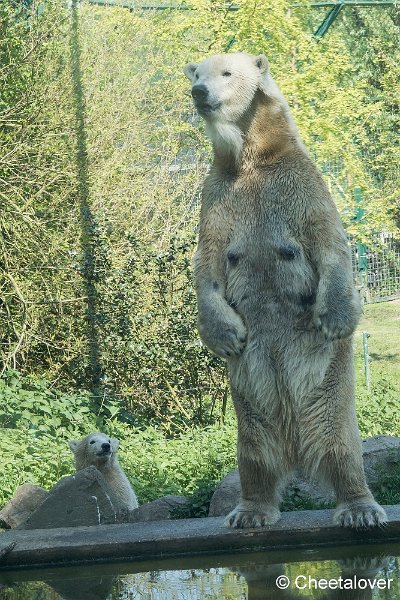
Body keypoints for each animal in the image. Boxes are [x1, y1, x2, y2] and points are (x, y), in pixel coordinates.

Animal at [184, 52, 384, 528]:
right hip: (251, 398)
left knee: (341, 444)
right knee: (254, 453)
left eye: (227, 73)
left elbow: (329, 241)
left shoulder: (298, 184)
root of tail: (296, 446)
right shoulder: (218, 195)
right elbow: (208, 263)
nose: (199, 92)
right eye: (198, 72)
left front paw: (337, 317)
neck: (251, 158)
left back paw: (359, 508)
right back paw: (249, 511)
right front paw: (223, 334)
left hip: (326, 386)